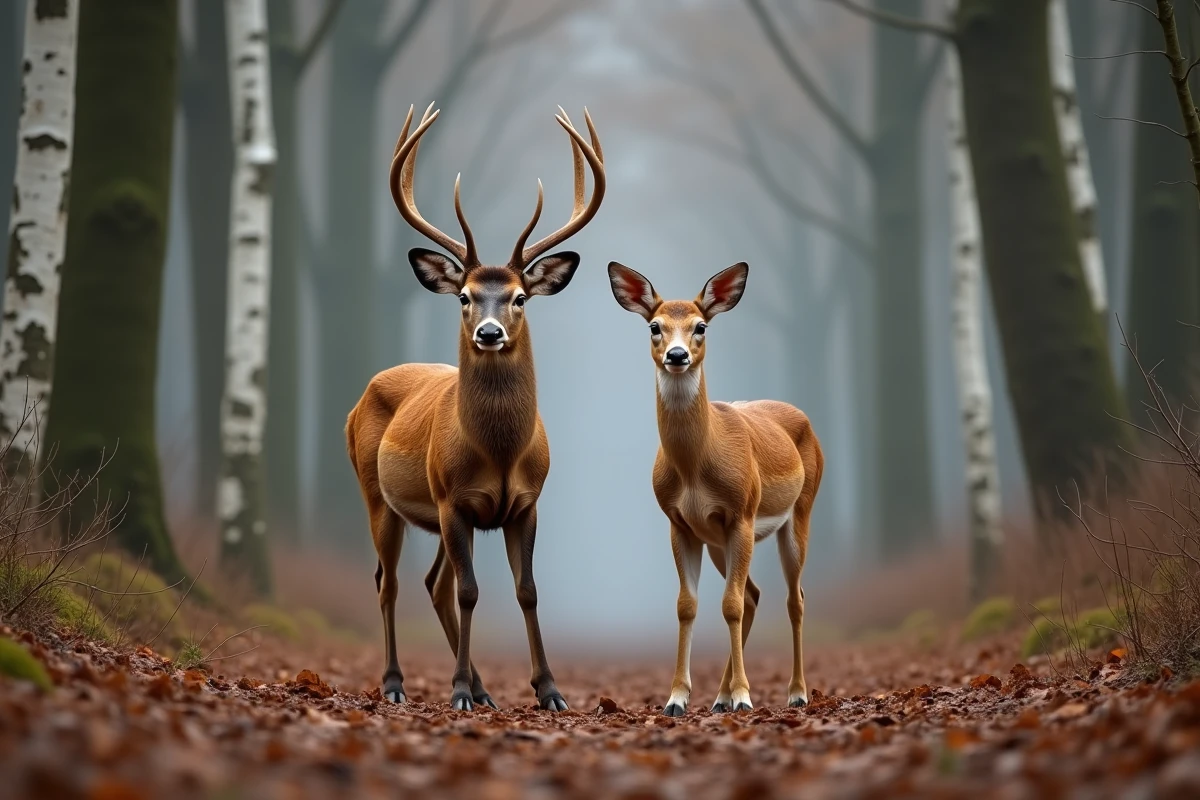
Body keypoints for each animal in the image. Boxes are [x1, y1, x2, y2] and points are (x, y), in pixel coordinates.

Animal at [346, 103, 604, 711]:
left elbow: (527, 591)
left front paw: (549, 690)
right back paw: (396, 683)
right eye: (464, 296)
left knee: (431, 584)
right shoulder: (454, 500)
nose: (489, 333)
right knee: (390, 581)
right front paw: (459, 690)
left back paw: (484, 689)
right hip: (379, 493)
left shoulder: (525, 502)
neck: (502, 451)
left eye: (519, 297)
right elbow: (470, 591)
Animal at [606, 261, 823, 715]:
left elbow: (730, 605)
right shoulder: (680, 524)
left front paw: (744, 696)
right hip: (719, 541)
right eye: (654, 326)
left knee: (792, 598)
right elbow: (688, 605)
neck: (694, 467)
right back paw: (721, 698)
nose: (677, 355)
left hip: (799, 512)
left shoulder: (741, 513)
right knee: (754, 594)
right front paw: (676, 698)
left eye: (701, 326)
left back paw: (795, 692)